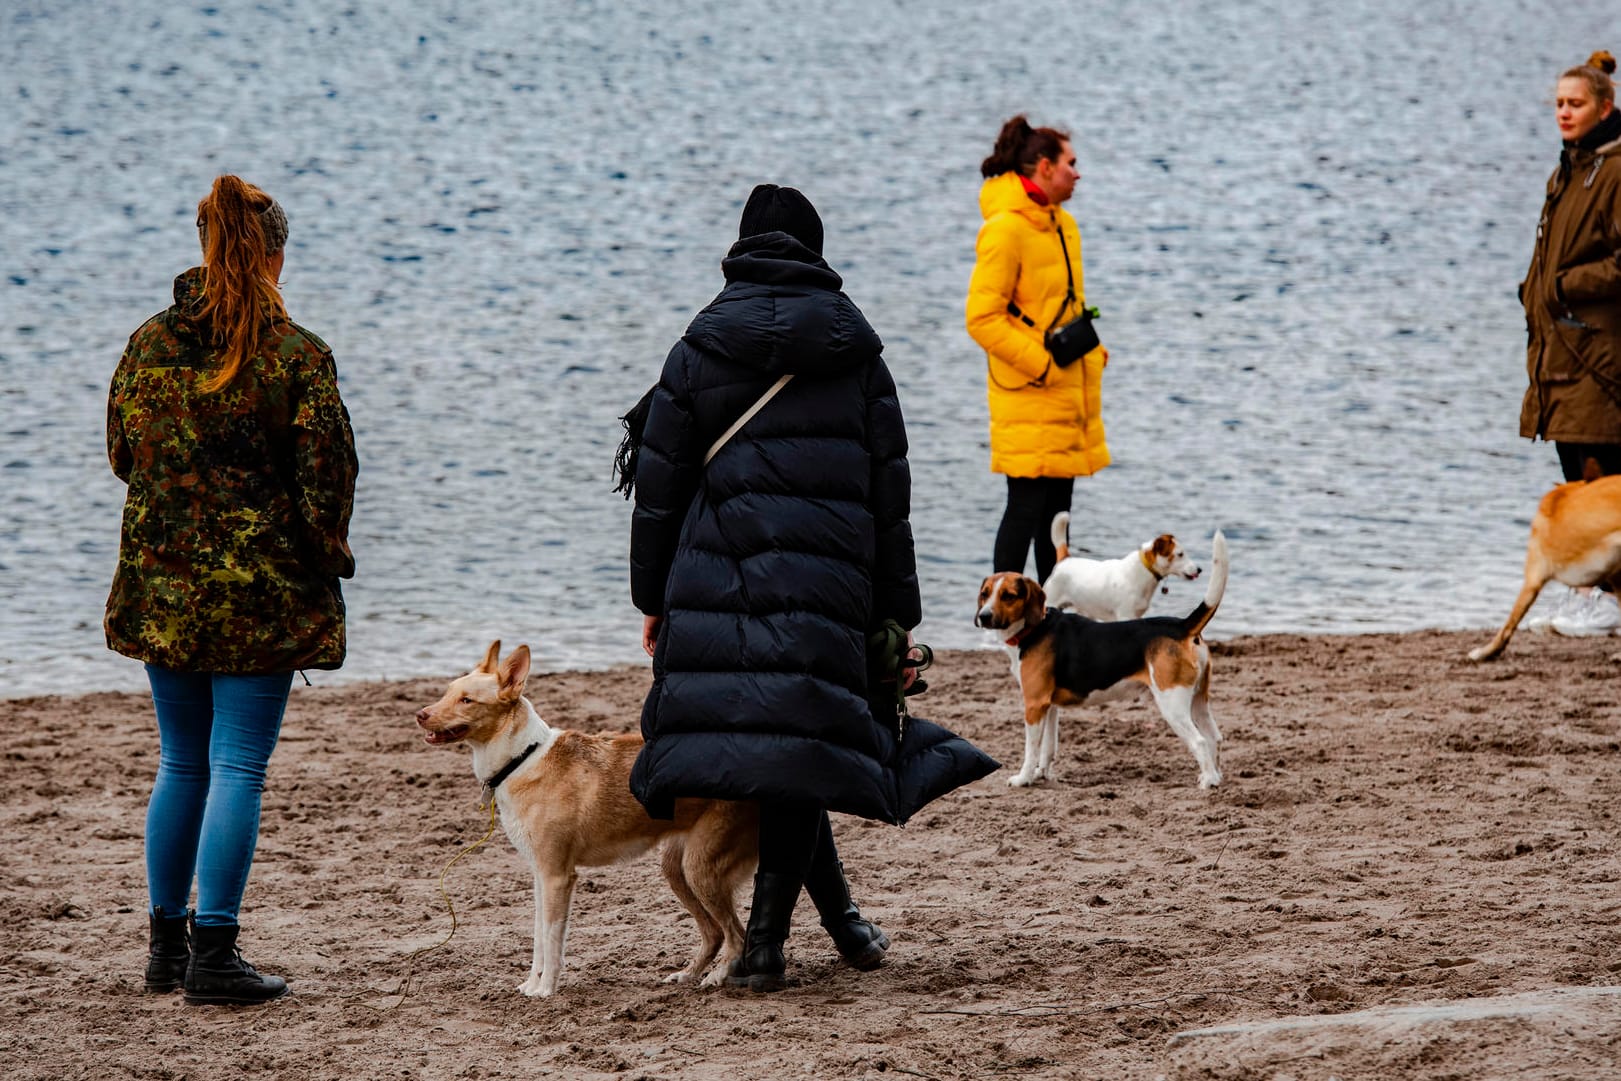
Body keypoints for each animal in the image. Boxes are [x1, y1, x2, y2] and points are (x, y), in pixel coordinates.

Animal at [411, 641, 752, 998]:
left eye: (467, 700)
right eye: (447, 692)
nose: (420, 715)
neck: (522, 759)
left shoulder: (558, 876)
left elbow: (551, 939)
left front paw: (545, 990)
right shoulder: (540, 875)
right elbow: (538, 937)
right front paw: (531, 984)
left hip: (701, 868)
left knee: (736, 934)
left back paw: (716, 977)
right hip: (677, 869)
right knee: (715, 932)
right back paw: (688, 974)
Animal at [972, 534, 1225, 794]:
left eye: (1009, 596)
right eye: (985, 593)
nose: (983, 616)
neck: (1034, 628)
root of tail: (1182, 626)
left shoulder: (1034, 705)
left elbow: (1031, 750)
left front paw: (1024, 778)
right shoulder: (1048, 706)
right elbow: (1048, 747)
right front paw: (1042, 774)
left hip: (1172, 703)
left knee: (1199, 741)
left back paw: (1208, 781)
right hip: (1198, 700)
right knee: (1214, 737)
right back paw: (1216, 777)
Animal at [1037, 515, 1206, 622]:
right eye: (1180, 554)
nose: (1199, 569)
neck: (1141, 573)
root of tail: (1065, 559)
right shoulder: (1125, 616)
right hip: (1051, 602)